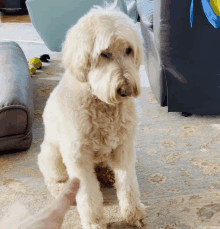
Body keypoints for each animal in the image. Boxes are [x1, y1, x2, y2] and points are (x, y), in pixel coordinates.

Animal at [38, 2, 146, 229]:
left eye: (128, 50)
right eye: (104, 54)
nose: (126, 91)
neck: (103, 103)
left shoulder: (123, 147)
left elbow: (128, 183)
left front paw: (133, 213)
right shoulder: (78, 157)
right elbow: (87, 194)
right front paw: (95, 222)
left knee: (102, 166)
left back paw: (107, 173)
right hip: (52, 155)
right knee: (51, 179)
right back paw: (61, 190)